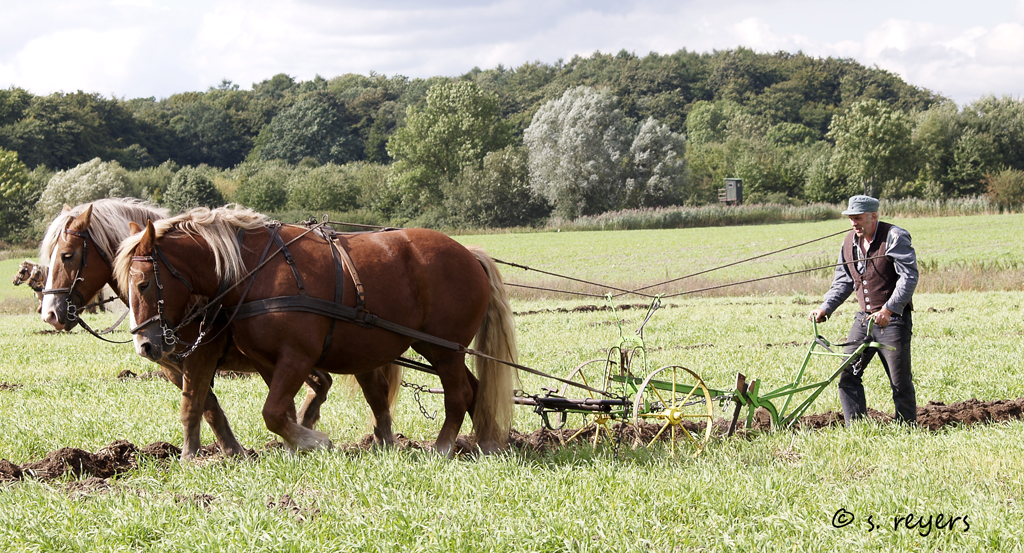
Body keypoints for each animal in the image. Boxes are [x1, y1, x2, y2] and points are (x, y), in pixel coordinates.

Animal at [43, 198, 403, 458]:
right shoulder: (173, 364)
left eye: (67, 255)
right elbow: (208, 405)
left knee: (359, 387)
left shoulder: (201, 355)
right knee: (352, 387)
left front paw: (197, 456)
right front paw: (232, 449)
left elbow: (193, 405)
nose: (50, 314)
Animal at [116, 204, 520, 456]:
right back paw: (487, 442)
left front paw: (314, 441)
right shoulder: (268, 361)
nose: (146, 345)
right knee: (475, 390)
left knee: (458, 394)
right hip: (439, 348)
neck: (254, 270)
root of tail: (469, 254)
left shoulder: (297, 356)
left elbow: (272, 412)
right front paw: (297, 444)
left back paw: (444, 447)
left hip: (445, 347)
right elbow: (281, 410)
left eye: (143, 284)